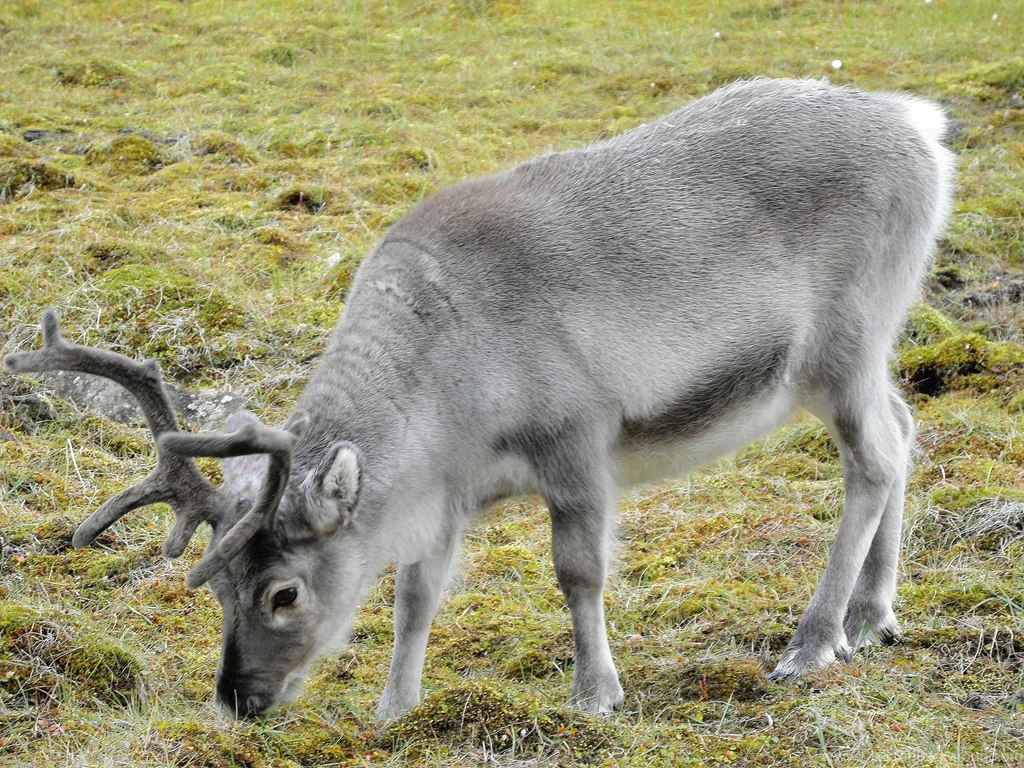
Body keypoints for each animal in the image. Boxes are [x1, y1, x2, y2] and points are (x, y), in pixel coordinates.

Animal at [4, 78, 955, 721]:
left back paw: (812, 641)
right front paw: (394, 707)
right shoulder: (448, 496)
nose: (238, 698)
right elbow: (416, 593)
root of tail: (926, 130)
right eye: (216, 588)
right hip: (863, 349)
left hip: (844, 340)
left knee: (874, 458)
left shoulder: (578, 436)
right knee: (906, 428)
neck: (448, 410)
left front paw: (596, 691)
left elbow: (578, 571)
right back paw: (875, 615)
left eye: (282, 593)